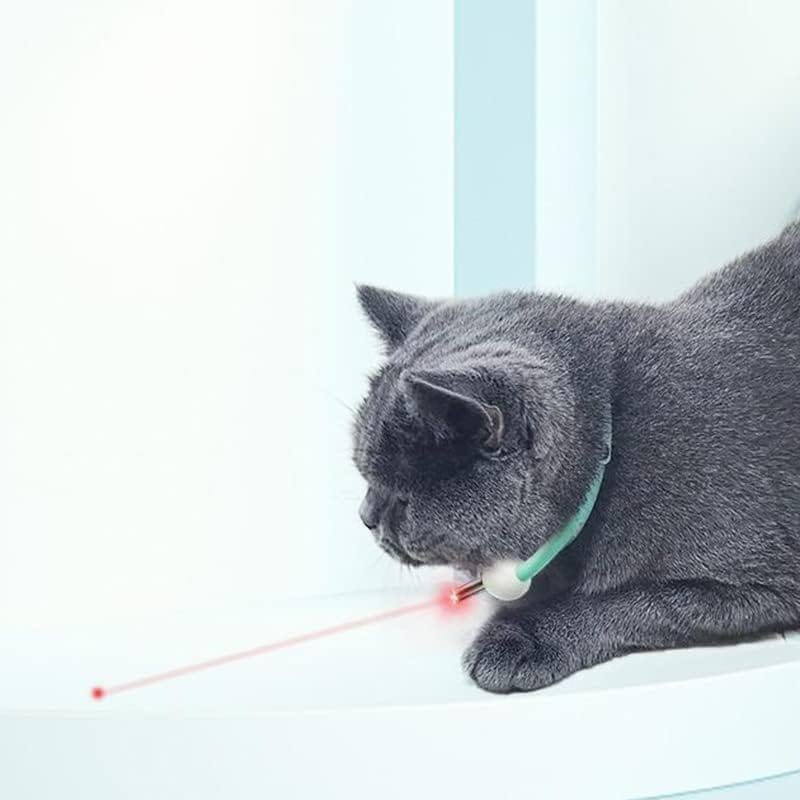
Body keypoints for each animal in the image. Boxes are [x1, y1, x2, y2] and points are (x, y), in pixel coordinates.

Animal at [352, 221, 800, 693]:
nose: (365, 515)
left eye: (400, 495)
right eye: (366, 477)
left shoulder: (762, 582)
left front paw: (522, 636)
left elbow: (637, 602)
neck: (613, 442)